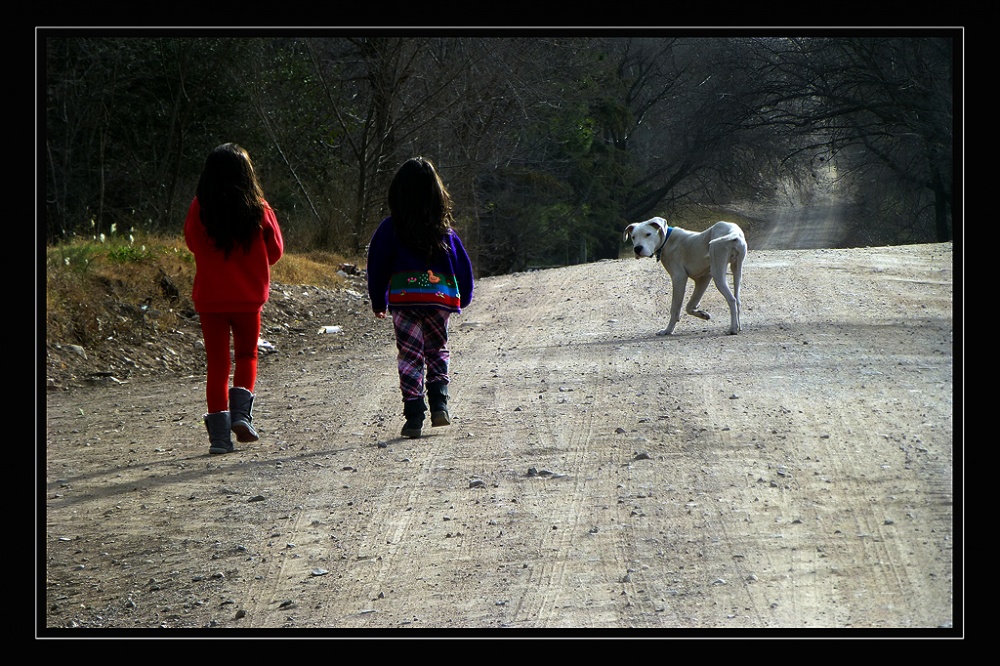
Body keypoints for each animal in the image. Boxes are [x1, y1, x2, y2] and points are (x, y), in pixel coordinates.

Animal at [620, 217, 748, 334]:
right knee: (737, 300)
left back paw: (733, 329)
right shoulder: (703, 278)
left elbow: (675, 308)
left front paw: (667, 330)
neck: (667, 240)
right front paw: (702, 314)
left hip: (718, 270)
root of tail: (733, 231)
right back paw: (739, 326)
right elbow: (690, 305)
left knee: (732, 299)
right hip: (737, 270)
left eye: (648, 234)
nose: (637, 249)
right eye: (633, 237)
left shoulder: (679, 278)